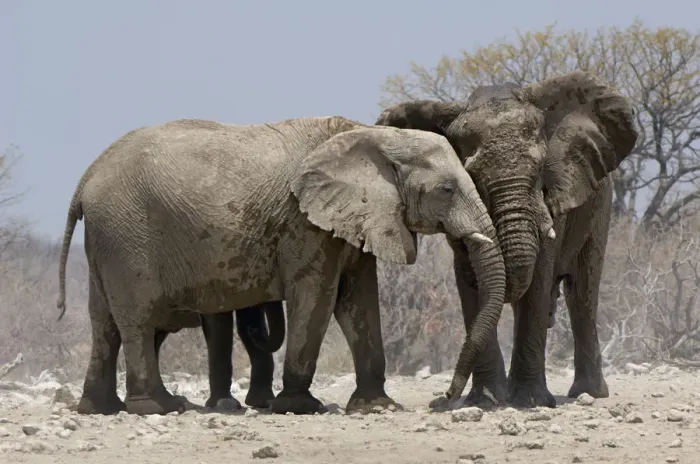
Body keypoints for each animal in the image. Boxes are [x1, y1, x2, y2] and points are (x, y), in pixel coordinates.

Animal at [55, 115, 507, 416]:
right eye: (447, 189)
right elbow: (318, 298)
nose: (441, 400)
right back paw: (158, 407)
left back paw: (100, 408)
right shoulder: (305, 224)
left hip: (108, 239)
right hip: (128, 235)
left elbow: (360, 301)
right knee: (138, 320)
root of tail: (85, 179)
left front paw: (376, 406)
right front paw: (301, 406)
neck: (374, 135)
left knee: (104, 323)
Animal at [375, 71, 638, 408]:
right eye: (472, 176)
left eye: (540, 169)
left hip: (600, 205)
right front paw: (485, 401)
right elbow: (472, 278)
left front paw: (531, 401)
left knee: (582, 292)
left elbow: (539, 277)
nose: (441, 400)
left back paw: (588, 393)